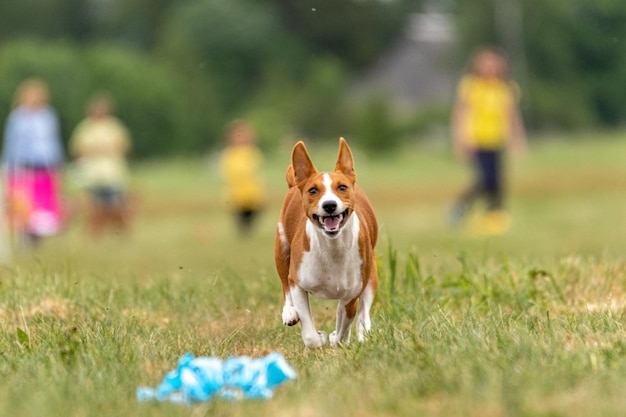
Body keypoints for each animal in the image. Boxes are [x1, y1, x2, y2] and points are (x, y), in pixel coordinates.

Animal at [272, 137, 376, 348]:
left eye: (342, 187)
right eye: (313, 190)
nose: (329, 205)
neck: (332, 248)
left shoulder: (352, 293)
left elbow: (345, 320)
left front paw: (338, 338)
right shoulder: (298, 282)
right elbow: (310, 335)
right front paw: (319, 337)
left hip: (371, 277)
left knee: (363, 311)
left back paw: (362, 333)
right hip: (281, 248)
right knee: (285, 284)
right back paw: (289, 313)